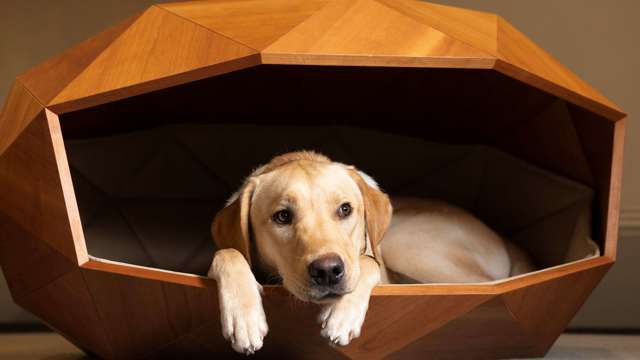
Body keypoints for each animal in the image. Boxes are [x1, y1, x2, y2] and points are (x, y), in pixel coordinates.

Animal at [208, 150, 532, 352]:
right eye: (282, 216)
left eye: (345, 209)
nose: (328, 271)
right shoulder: (229, 252)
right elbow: (228, 253)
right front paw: (244, 316)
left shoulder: (377, 262)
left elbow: (367, 262)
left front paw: (343, 314)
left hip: (403, 241)